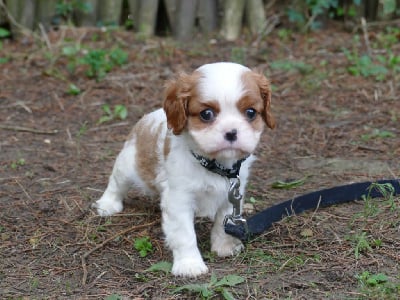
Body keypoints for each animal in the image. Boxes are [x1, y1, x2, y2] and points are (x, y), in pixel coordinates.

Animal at [94, 62, 276, 278]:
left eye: (250, 112)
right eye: (207, 114)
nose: (231, 132)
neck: (214, 165)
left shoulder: (231, 195)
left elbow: (223, 223)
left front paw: (224, 246)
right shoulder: (178, 200)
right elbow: (185, 235)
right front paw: (190, 264)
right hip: (128, 163)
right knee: (116, 183)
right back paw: (108, 204)